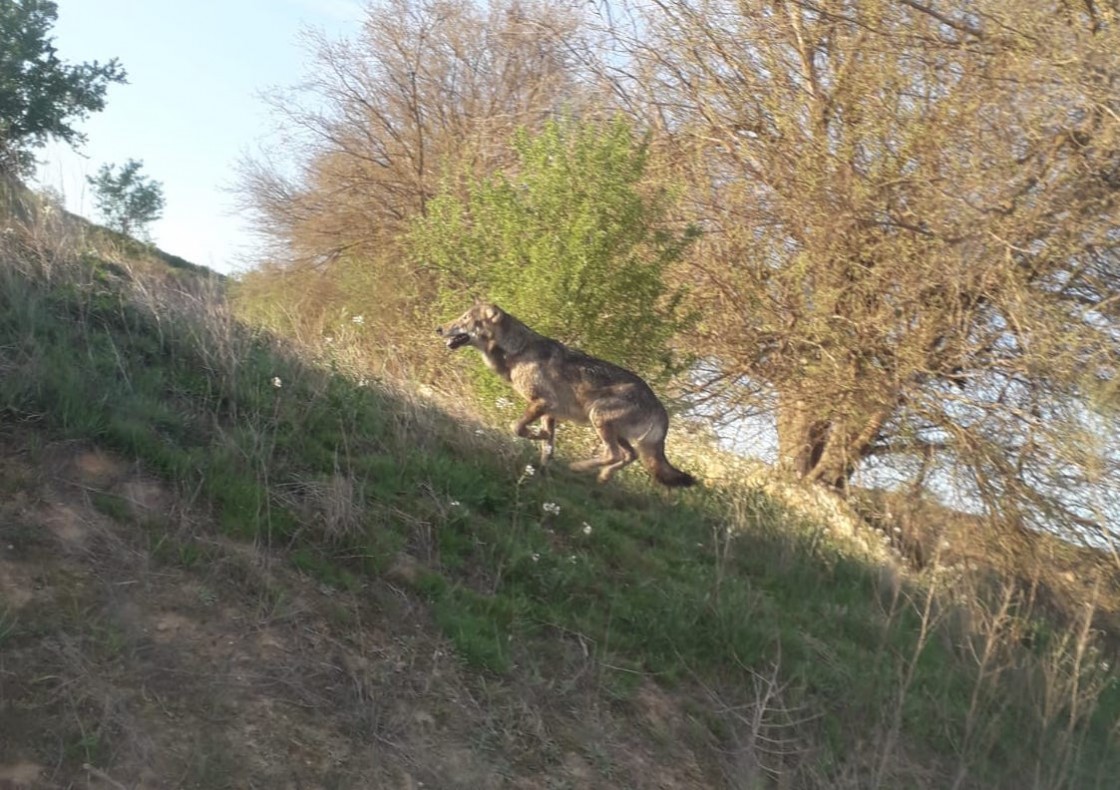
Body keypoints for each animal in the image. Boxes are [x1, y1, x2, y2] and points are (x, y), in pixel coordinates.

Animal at [434, 302, 689, 484]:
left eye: (465, 318)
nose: (439, 328)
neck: (517, 352)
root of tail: (660, 408)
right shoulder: (549, 412)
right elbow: (546, 447)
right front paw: (542, 467)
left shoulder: (543, 402)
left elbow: (517, 427)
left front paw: (539, 438)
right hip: (615, 431)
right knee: (630, 455)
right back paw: (603, 476)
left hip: (598, 417)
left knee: (614, 454)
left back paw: (579, 467)